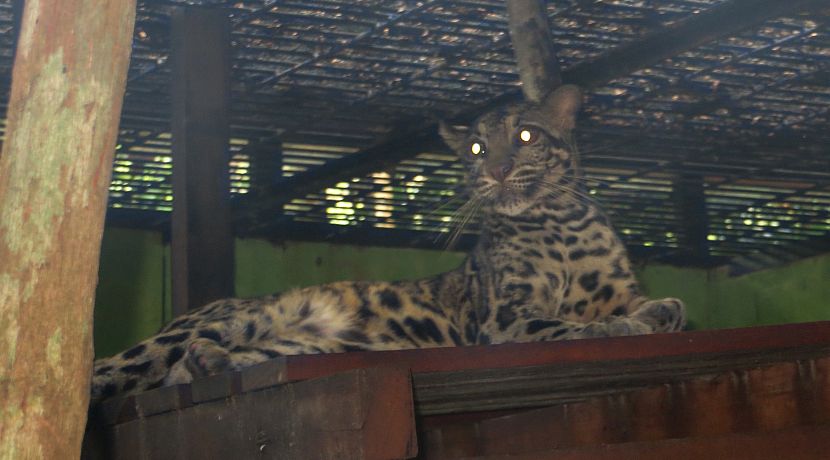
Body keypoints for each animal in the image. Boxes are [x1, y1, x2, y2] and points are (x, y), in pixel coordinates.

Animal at [91, 85, 685, 402]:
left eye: (525, 136)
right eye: (475, 148)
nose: (495, 170)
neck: (557, 222)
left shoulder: (616, 287)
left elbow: (667, 307)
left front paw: (653, 313)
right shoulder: (504, 318)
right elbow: (563, 325)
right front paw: (616, 327)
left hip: (301, 345)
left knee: (199, 363)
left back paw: (207, 362)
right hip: (209, 325)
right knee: (113, 369)